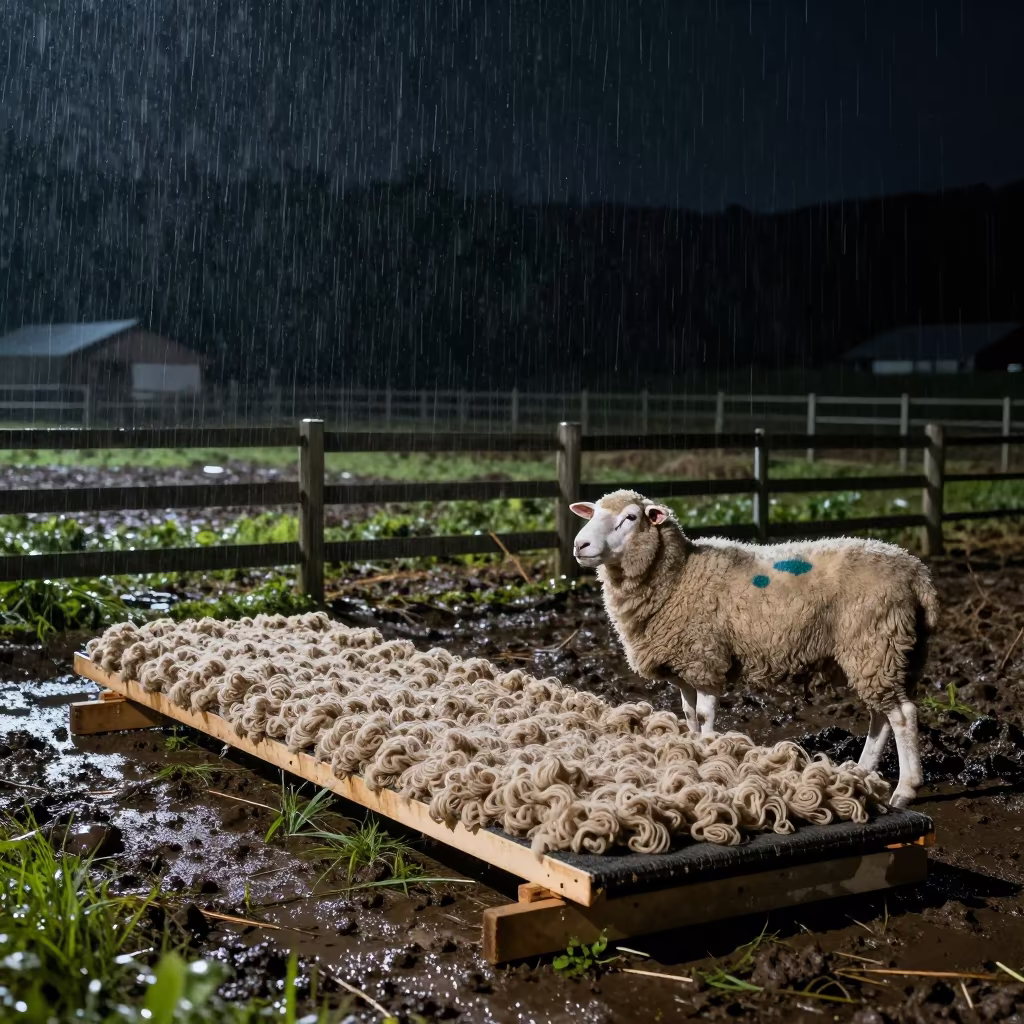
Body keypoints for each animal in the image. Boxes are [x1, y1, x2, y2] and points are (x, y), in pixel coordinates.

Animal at [569, 489, 939, 808]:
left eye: (631, 517)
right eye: (594, 513)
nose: (579, 544)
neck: (678, 576)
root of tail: (916, 571)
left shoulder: (706, 659)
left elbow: (703, 716)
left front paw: (707, 756)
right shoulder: (685, 668)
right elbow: (688, 716)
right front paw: (690, 755)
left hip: (876, 643)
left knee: (903, 716)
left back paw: (905, 790)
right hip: (884, 654)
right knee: (881, 715)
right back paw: (862, 771)